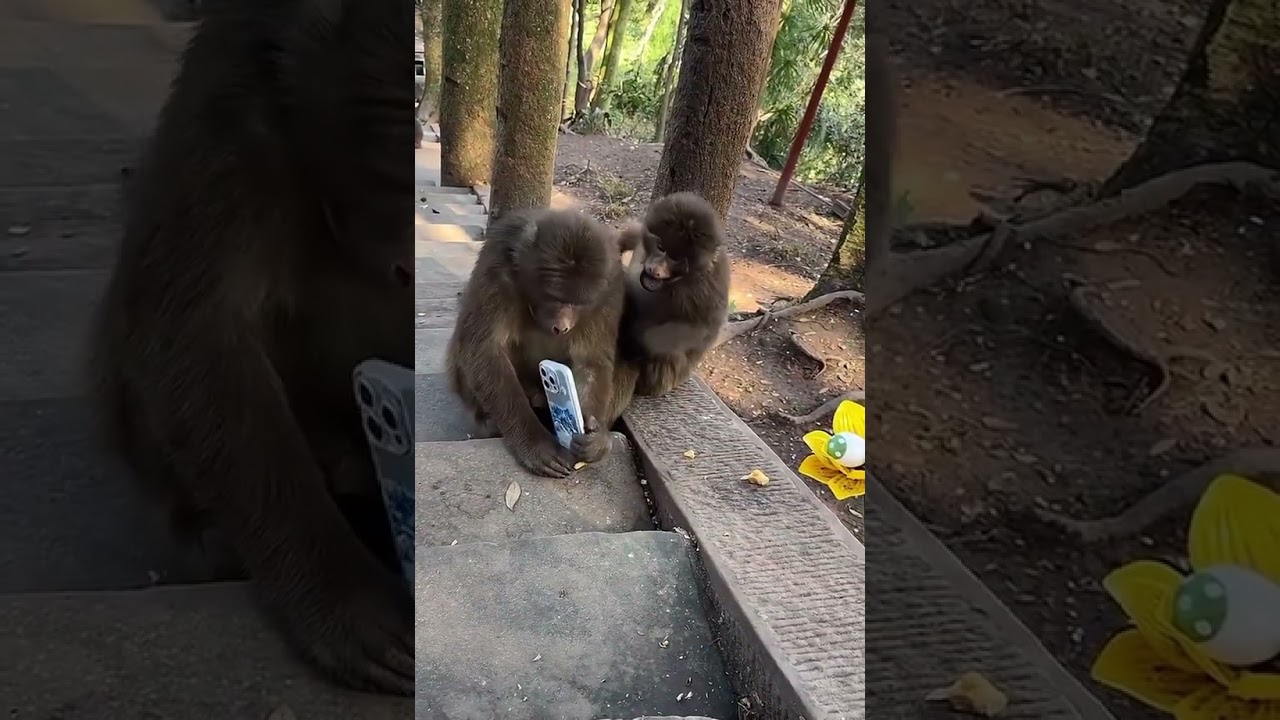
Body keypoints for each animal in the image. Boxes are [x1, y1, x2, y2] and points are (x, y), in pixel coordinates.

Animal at [446, 209, 630, 478]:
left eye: (578, 302)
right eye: (554, 298)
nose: (562, 326)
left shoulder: (611, 286)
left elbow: (591, 360)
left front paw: (596, 439)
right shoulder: (496, 266)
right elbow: (483, 348)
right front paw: (535, 442)